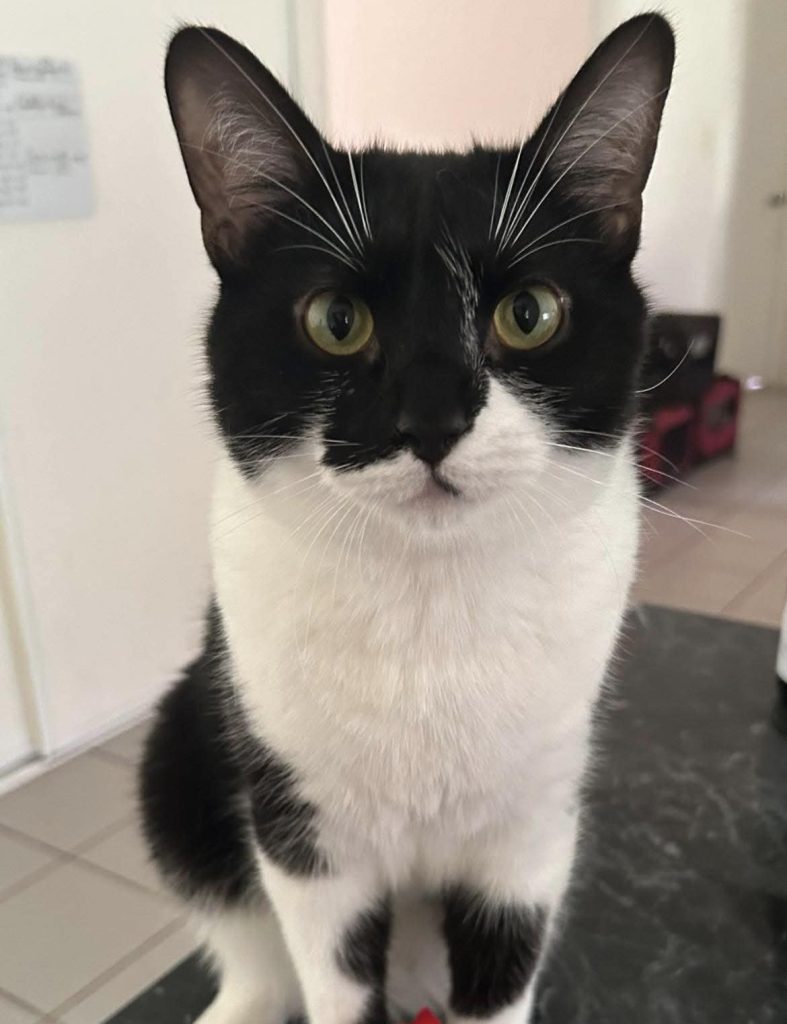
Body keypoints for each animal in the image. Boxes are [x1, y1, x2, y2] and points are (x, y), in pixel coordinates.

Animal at [139, 14, 671, 1024]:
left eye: (529, 313)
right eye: (335, 319)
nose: (431, 421)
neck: (429, 601)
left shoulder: (529, 831)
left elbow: (502, 978)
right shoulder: (305, 835)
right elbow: (330, 974)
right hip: (181, 750)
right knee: (241, 935)